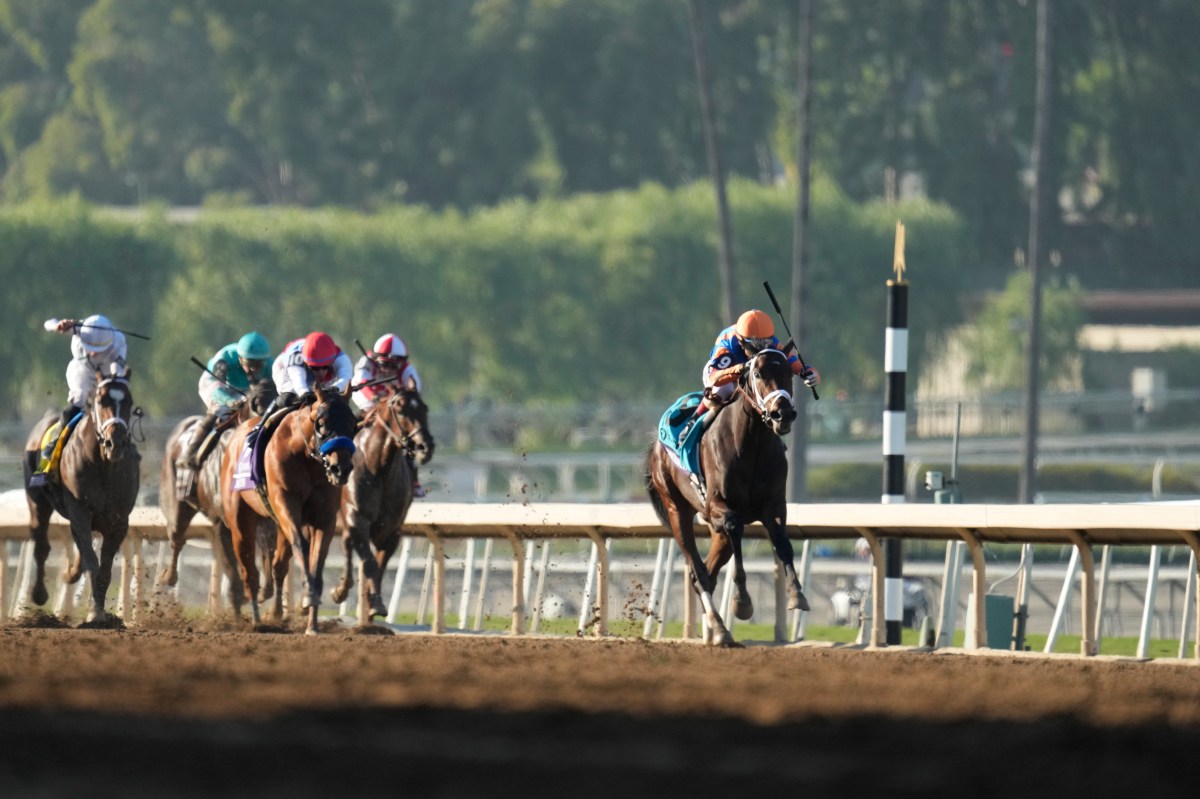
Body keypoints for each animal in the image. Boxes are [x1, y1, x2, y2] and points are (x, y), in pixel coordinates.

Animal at [23, 374, 140, 623]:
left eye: (129, 401)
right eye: (101, 401)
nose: (115, 443)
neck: (104, 466)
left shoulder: (119, 521)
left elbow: (104, 568)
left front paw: (99, 612)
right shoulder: (80, 510)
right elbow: (92, 562)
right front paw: (95, 613)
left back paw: (71, 573)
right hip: (38, 502)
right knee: (41, 544)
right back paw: (40, 593)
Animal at [222, 383, 355, 633]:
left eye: (353, 423)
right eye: (321, 423)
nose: (340, 468)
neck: (306, 457)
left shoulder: (324, 518)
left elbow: (316, 558)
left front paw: (312, 623)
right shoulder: (286, 505)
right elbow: (301, 546)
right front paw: (308, 596)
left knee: (278, 566)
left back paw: (274, 614)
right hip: (240, 521)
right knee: (249, 570)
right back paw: (256, 621)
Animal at [333, 386, 436, 614]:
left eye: (425, 408)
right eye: (400, 410)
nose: (425, 447)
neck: (378, 468)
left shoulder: (391, 529)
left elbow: (379, 565)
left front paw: (375, 602)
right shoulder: (357, 518)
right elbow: (369, 562)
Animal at [648, 347, 806, 643]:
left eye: (789, 373)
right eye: (758, 374)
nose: (782, 414)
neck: (752, 444)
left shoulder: (774, 505)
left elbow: (783, 543)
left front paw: (796, 594)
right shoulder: (717, 506)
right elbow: (735, 529)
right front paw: (742, 602)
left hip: (716, 534)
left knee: (708, 573)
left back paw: (717, 628)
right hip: (677, 509)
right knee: (698, 572)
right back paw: (720, 629)